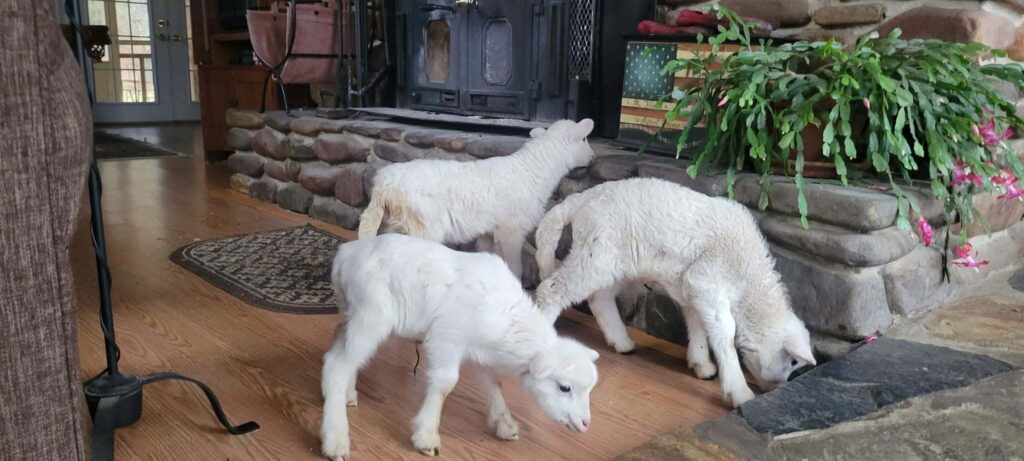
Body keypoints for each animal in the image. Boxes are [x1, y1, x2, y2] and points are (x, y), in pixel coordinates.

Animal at [321, 234, 600, 460]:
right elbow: (445, 384)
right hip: (372, 314)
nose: (585, 424)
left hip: (351, 309)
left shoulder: (481, 351)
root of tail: (346, 254)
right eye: (564, 387)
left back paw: (345, 395)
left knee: (339, 346)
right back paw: (335, 440)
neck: (507, 318)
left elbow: (493, 383)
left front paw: (504, 423)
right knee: (338, 365)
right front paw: (426, 436)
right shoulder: (447, 338)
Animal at [356, 119, 596, 279]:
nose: (593, 158)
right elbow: (514, 266)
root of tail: (383, 185)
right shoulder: (510, 230)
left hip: (393, 225)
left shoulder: (488, 231)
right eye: (584, 138)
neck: (533, 170)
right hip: (422, 227)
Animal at [533, 177, 815, 408]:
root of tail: (580, 199)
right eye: (793, 362)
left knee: (599, 297)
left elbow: (698, 324)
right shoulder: (707, 280)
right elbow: (725, 332)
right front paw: (739, 390)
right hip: (597, 254)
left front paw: (702, 364)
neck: (749, 281)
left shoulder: (693, 288)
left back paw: (622, 342)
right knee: (552, 290)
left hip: (616, 263)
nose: (777, 388)